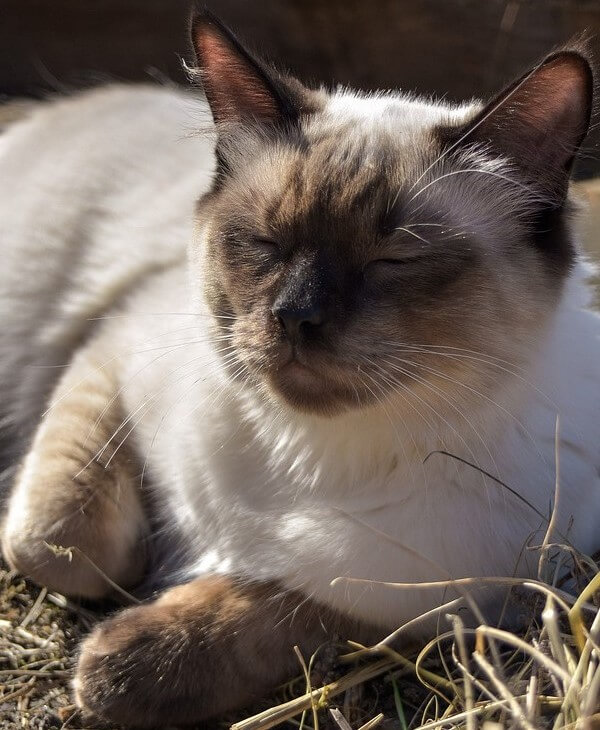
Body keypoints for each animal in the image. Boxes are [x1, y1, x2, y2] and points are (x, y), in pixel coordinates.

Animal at [1, 8, 600, 724]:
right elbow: (64, 548)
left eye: (394, 261)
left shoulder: (434, 600)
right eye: (268, 244)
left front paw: (118, 665)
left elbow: (272, 612)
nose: (295, 316)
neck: (311, 456)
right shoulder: (113, 350)